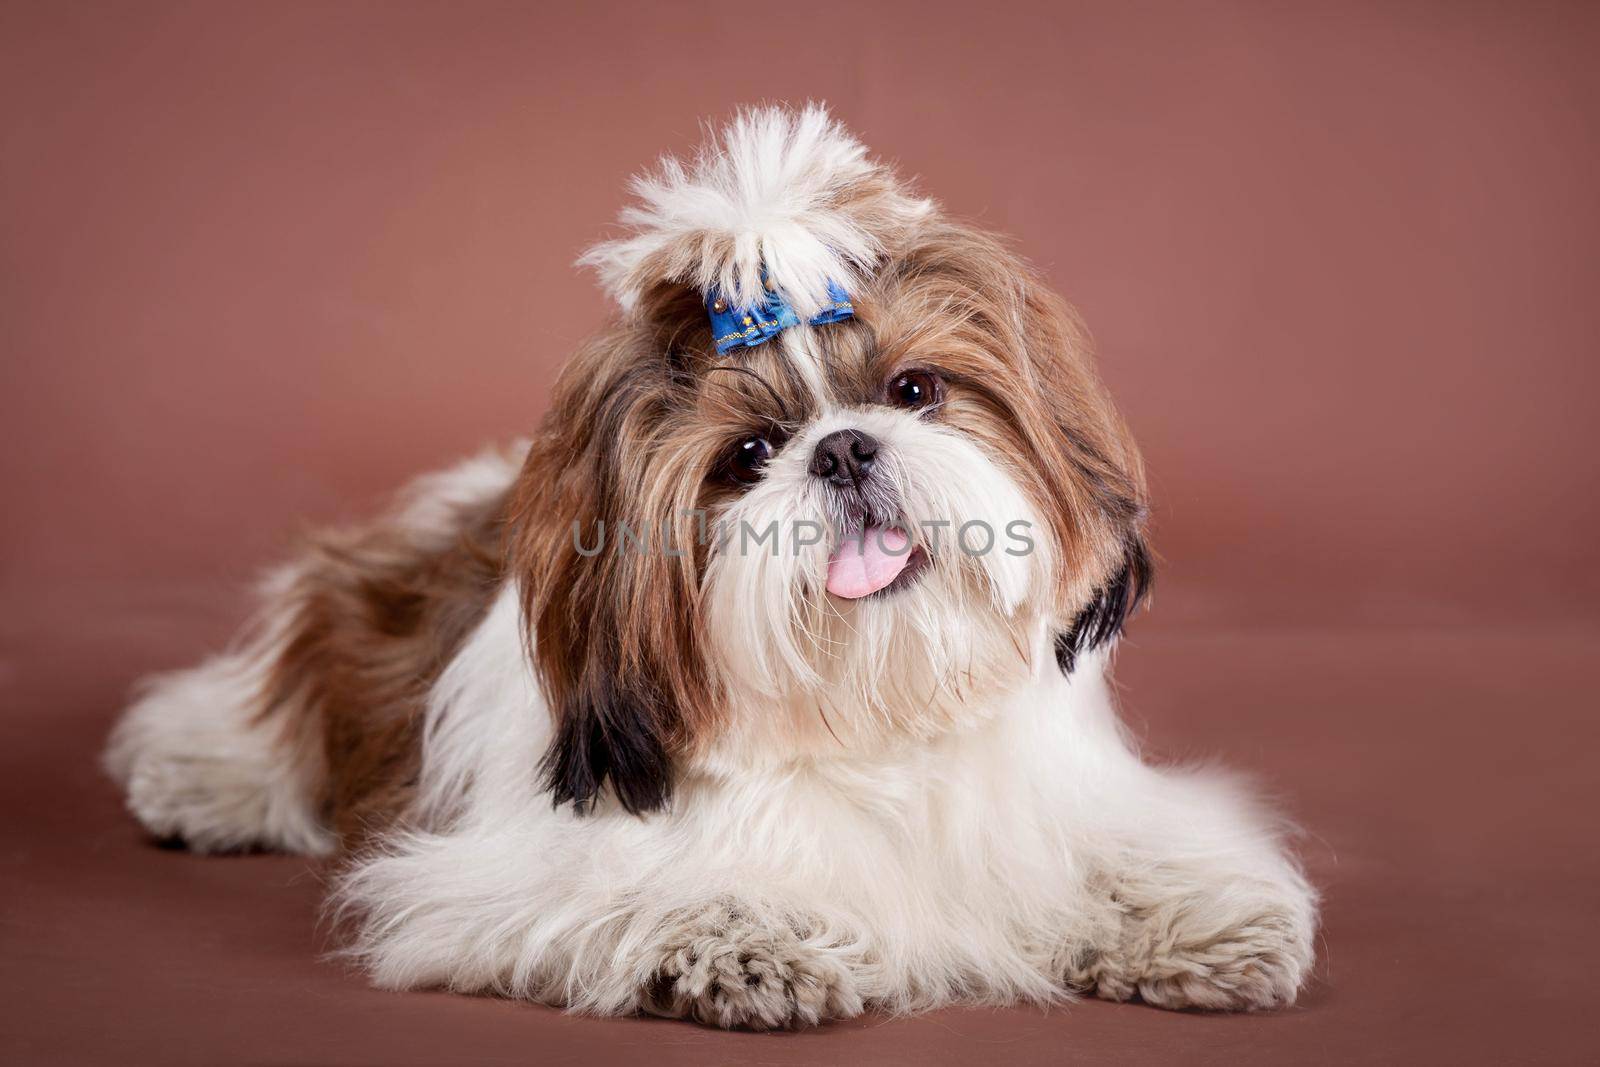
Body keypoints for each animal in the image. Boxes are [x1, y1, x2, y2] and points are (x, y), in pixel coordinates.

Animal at [106, 106, 1318, 1023]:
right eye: (746, 457)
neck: (874, 720)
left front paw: (1197, 918)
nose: (842, 447)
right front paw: (748, 938)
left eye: (914, 389)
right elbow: (638, 893)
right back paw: (207, 778)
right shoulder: (506, 873)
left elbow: (1116, 851)